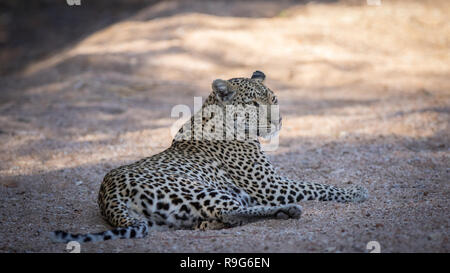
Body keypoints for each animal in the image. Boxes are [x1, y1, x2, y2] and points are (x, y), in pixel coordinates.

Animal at [52, 70, 370, 242]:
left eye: (274, 99)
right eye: (254, 104)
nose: (278, 120)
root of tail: (107, 196)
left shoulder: (271, 184)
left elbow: (315, 184)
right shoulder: (271, 186)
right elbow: (318, 186)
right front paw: (356, 191)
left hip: (174, 213)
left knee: (213, 220)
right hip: (199, 188)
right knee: (230, 212)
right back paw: (288, 210)